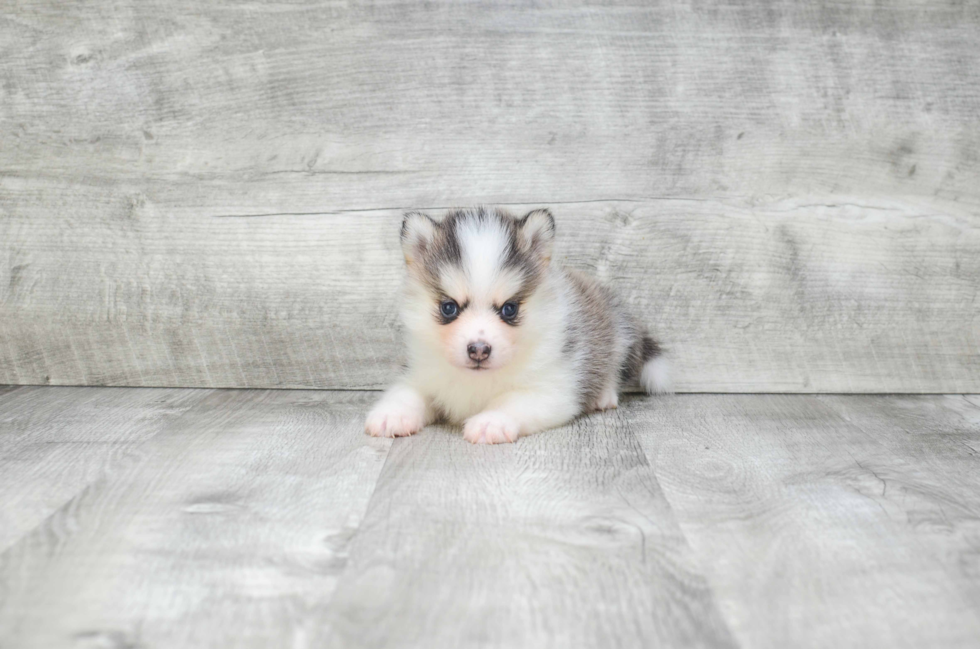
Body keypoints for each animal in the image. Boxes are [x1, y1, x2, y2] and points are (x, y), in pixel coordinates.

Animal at [364, 208, 668, 446]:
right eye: (449, 308)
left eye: (509, 309)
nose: (478, 350)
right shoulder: (420, 373)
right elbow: (407, 393)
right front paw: (392, 414)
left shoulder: (551, 390)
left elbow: (511, 402)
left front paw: (491, 421)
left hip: (617, 336)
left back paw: (603, 395)